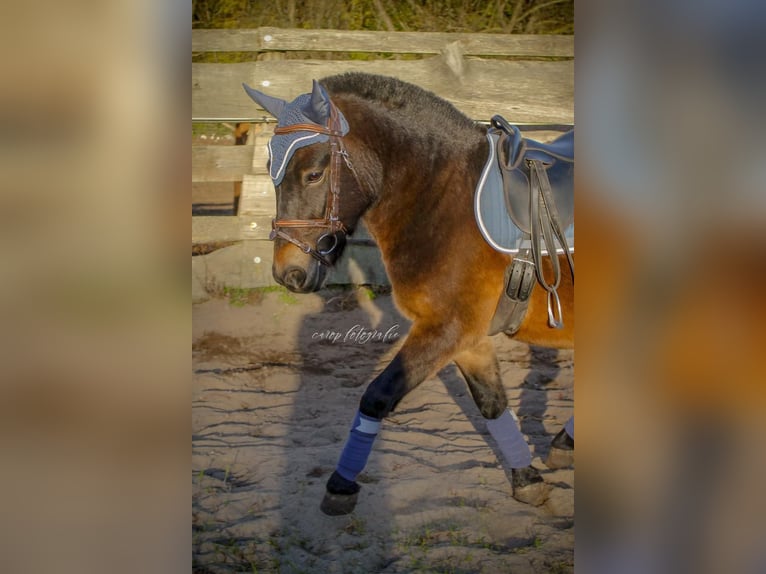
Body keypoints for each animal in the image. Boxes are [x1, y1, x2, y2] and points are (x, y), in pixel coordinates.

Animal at [243, 73, 572, 516]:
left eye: (313, 174)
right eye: (270, 170)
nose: (287, 273)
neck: (445, 199)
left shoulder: (446, 330)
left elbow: (377, 397)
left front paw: (341, 484)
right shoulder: (467, 338)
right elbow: (492, 402)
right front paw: (526, 478)